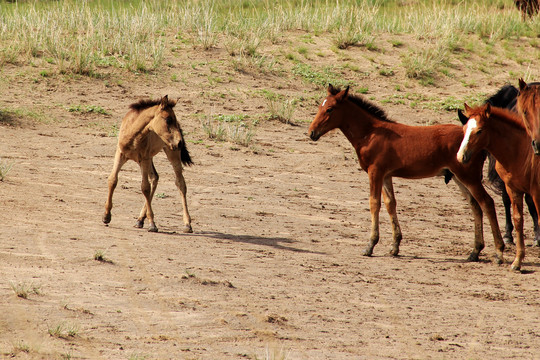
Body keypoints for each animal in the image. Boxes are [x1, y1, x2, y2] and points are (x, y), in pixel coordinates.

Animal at [102, 94, 193, 233]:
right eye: (168, 119)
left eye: (173, 119)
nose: (180, 143)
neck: (133, 134)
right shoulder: (120, 154)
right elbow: (112, 180)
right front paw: (106, 216)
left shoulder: (144, 159)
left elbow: (145, 187)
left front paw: (152, 224)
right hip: (149, 158)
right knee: (155, 177)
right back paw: (140, 220)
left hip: (171, 153)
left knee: (180, 183)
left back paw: (187, 224)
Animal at [308, 86, 506, 262]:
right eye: (319, 107)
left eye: (330, 109)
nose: (311, 133)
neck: (370, 133)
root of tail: (481, 145)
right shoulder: (386, 175)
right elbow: (390, 204)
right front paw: (395, 246)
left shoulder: (375, 172)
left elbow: (374, 203)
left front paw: (370, 245)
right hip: (458, 178)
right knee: (475, 205)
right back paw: (475, 252)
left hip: (469, 177)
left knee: (487, 203)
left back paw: (499, 251)